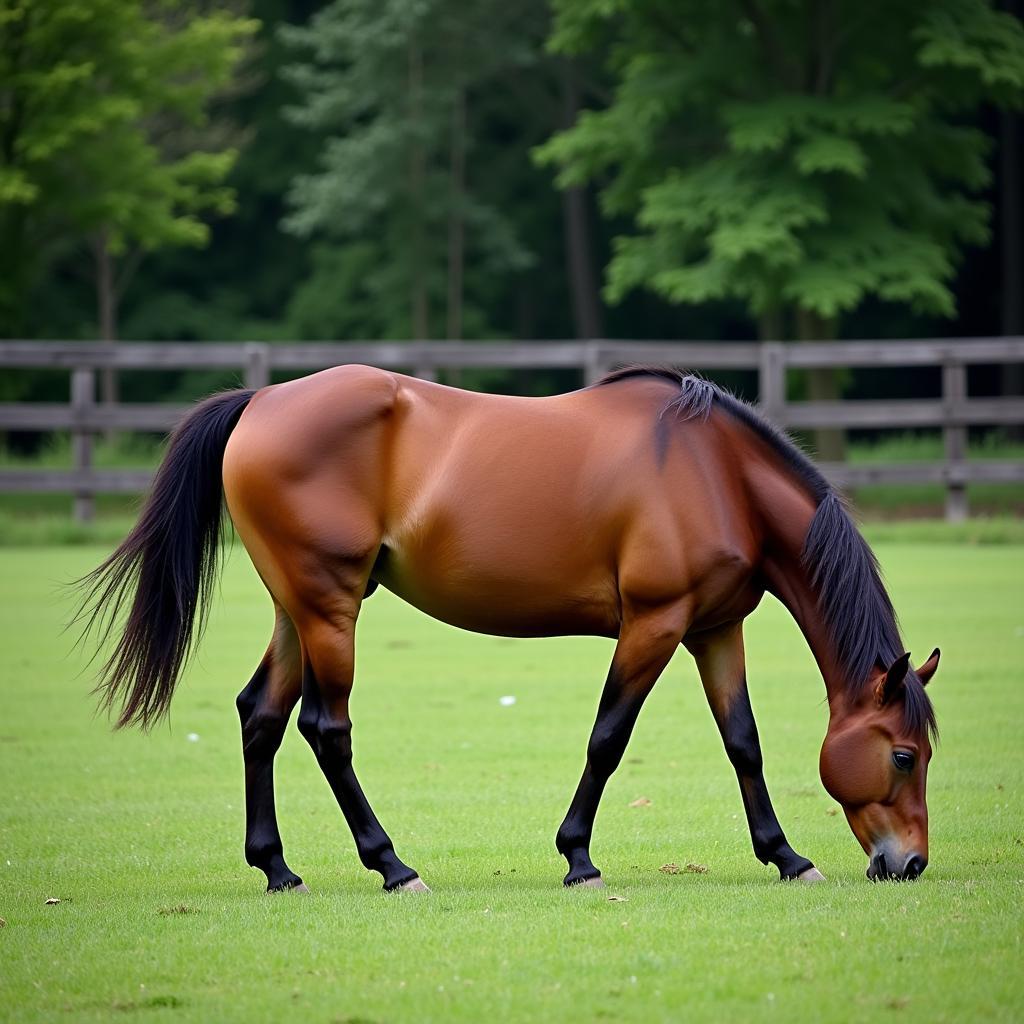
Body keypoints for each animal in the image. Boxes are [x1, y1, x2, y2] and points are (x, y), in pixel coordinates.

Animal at [77, 364, 942, 892]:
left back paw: (278, 869)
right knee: (326, 729)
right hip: (330, 609)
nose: (909, 864)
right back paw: (392, 865)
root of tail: (259, 401)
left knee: (260, 714)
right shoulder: (655, 624)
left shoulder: (714, 629)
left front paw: (786, 855)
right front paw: (578, 857)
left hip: (298, 609)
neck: (715, 473)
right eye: (903, 754)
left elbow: (743, 743)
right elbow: (608, 738)